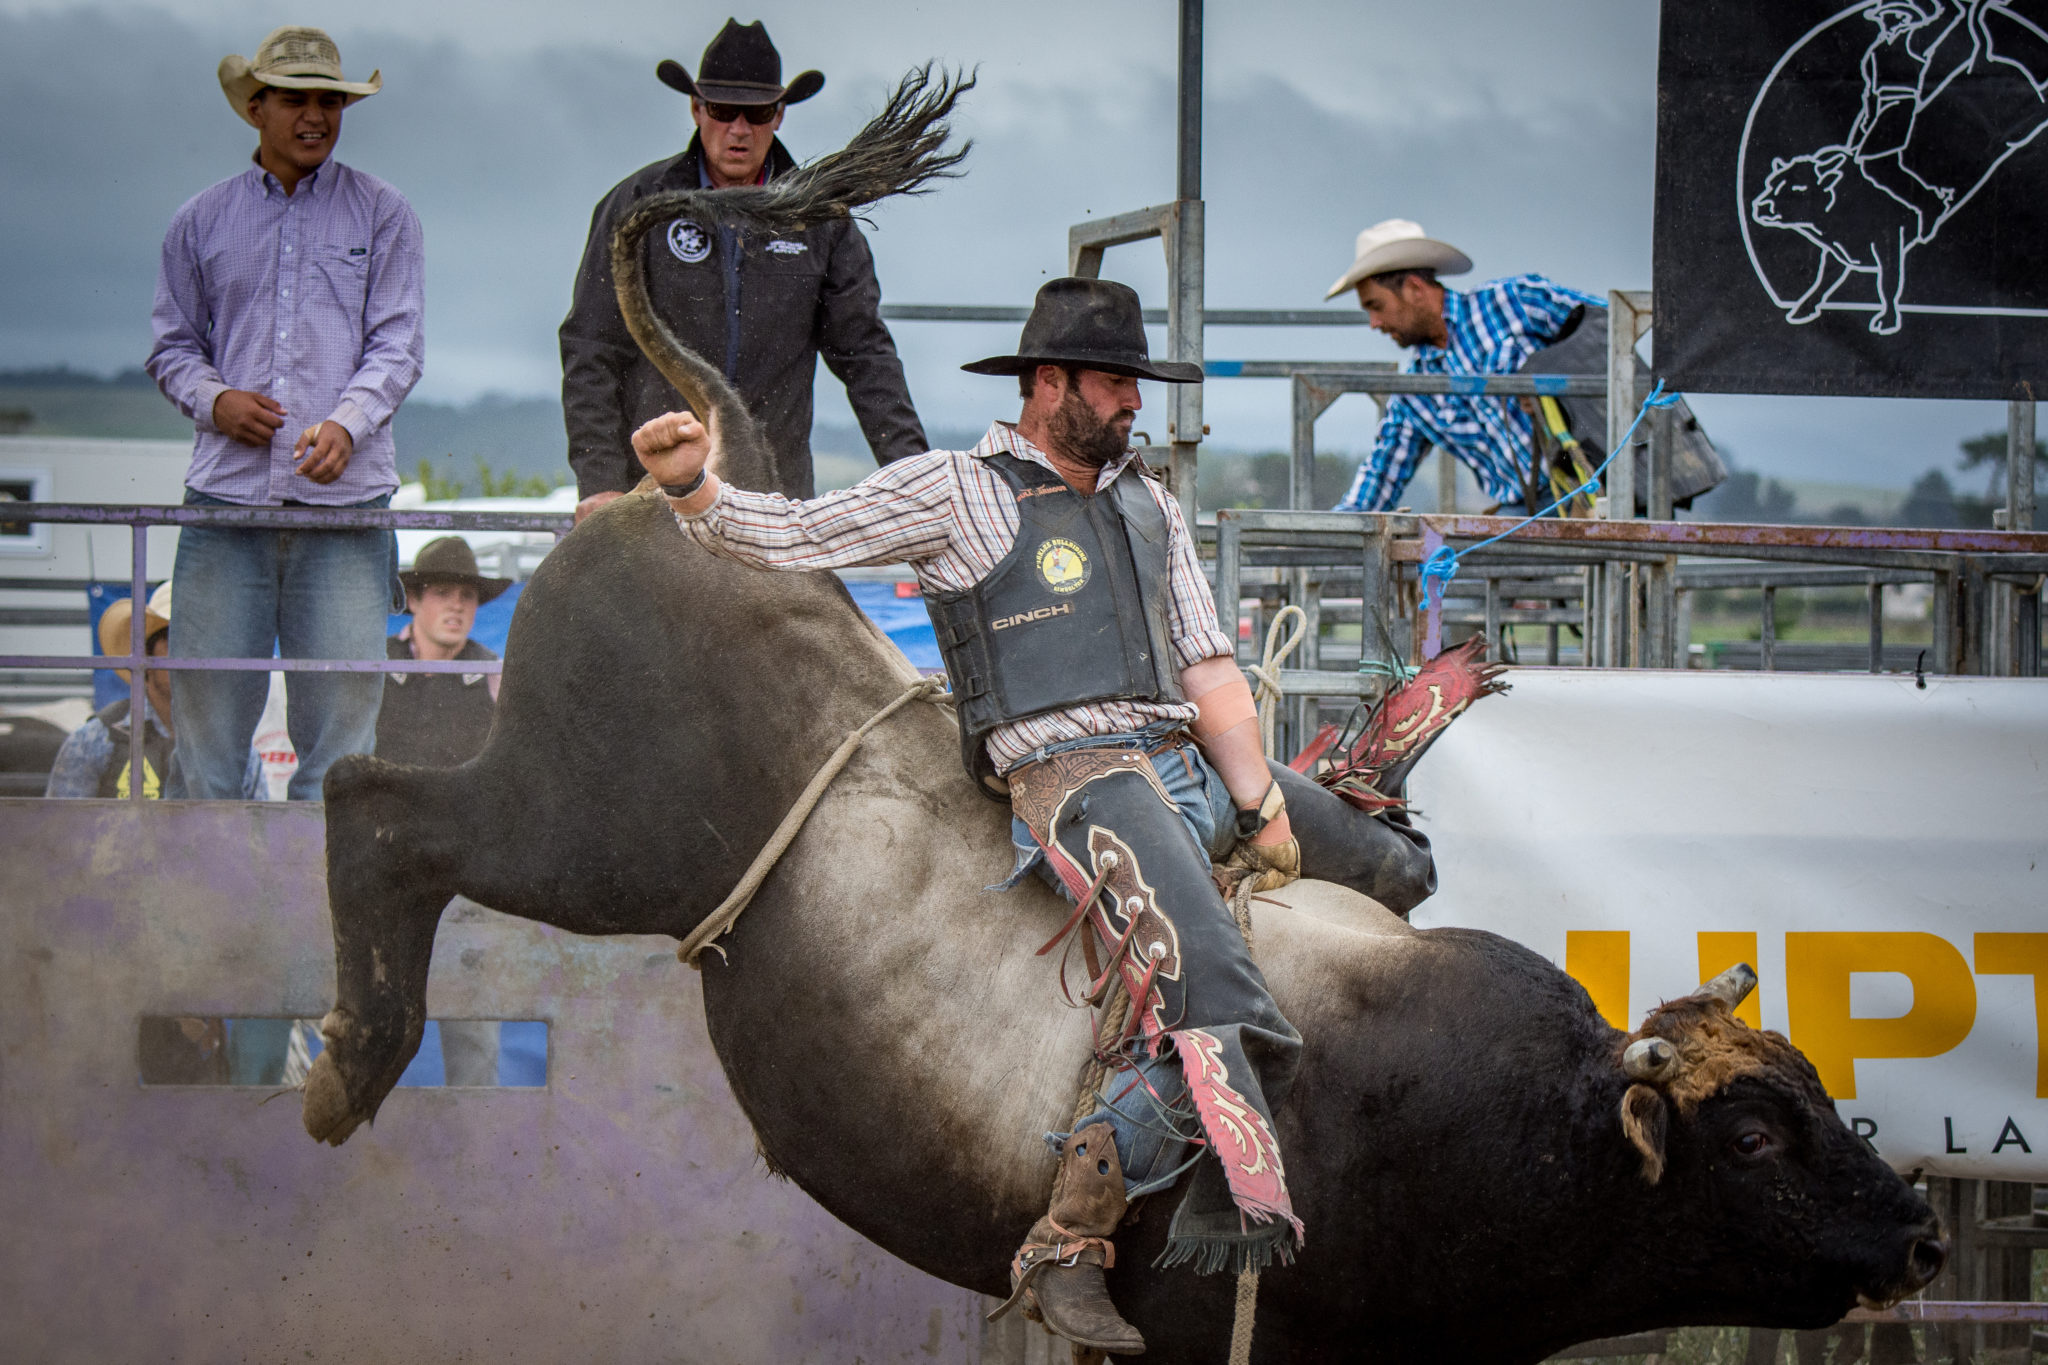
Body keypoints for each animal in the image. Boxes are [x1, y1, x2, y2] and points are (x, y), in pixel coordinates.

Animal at [296, 69, 1941, 1358]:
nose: (1921, 1236)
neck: (1509, 1116)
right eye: (1751, 1135)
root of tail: (697, 463)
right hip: (586, 830)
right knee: (379, 806)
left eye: (1819, 1094)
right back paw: (348, 1063)